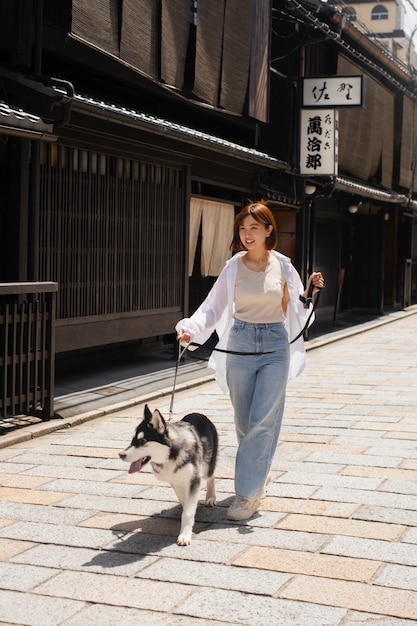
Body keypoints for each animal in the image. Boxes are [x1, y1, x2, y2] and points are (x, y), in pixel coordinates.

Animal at [118, 404, 218, 540]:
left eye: (142, 441)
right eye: (132, 440)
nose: (120, 454)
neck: (171, 455)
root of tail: (198, 413)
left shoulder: (194, 480)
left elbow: (188, 511)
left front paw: (185, 535)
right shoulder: (175, 482)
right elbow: (184, 502)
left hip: (207, 465)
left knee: (211, 476)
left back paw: (210, 497)